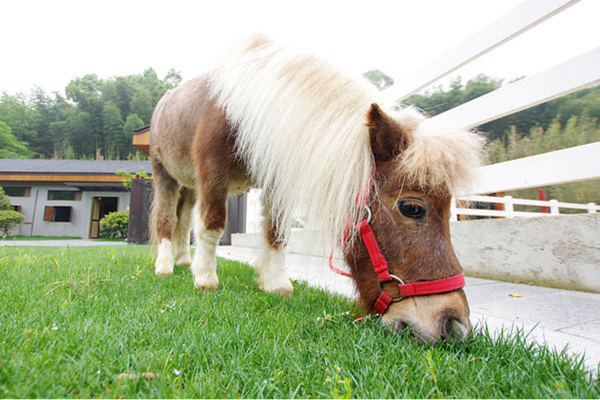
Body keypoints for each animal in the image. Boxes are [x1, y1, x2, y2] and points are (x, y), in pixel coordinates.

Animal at [150, 34, 482, 342]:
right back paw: (165, 265)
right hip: (164, 174)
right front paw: (206, 278)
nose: (455, 324)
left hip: (188, 185)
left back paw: (183, 260)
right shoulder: (213, 174)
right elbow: (212, 225)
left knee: (182, 222)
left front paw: (275, 282)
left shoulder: (275, 177)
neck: (245, 109)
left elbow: (276, 232)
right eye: (412, 207)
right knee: (167, 220)